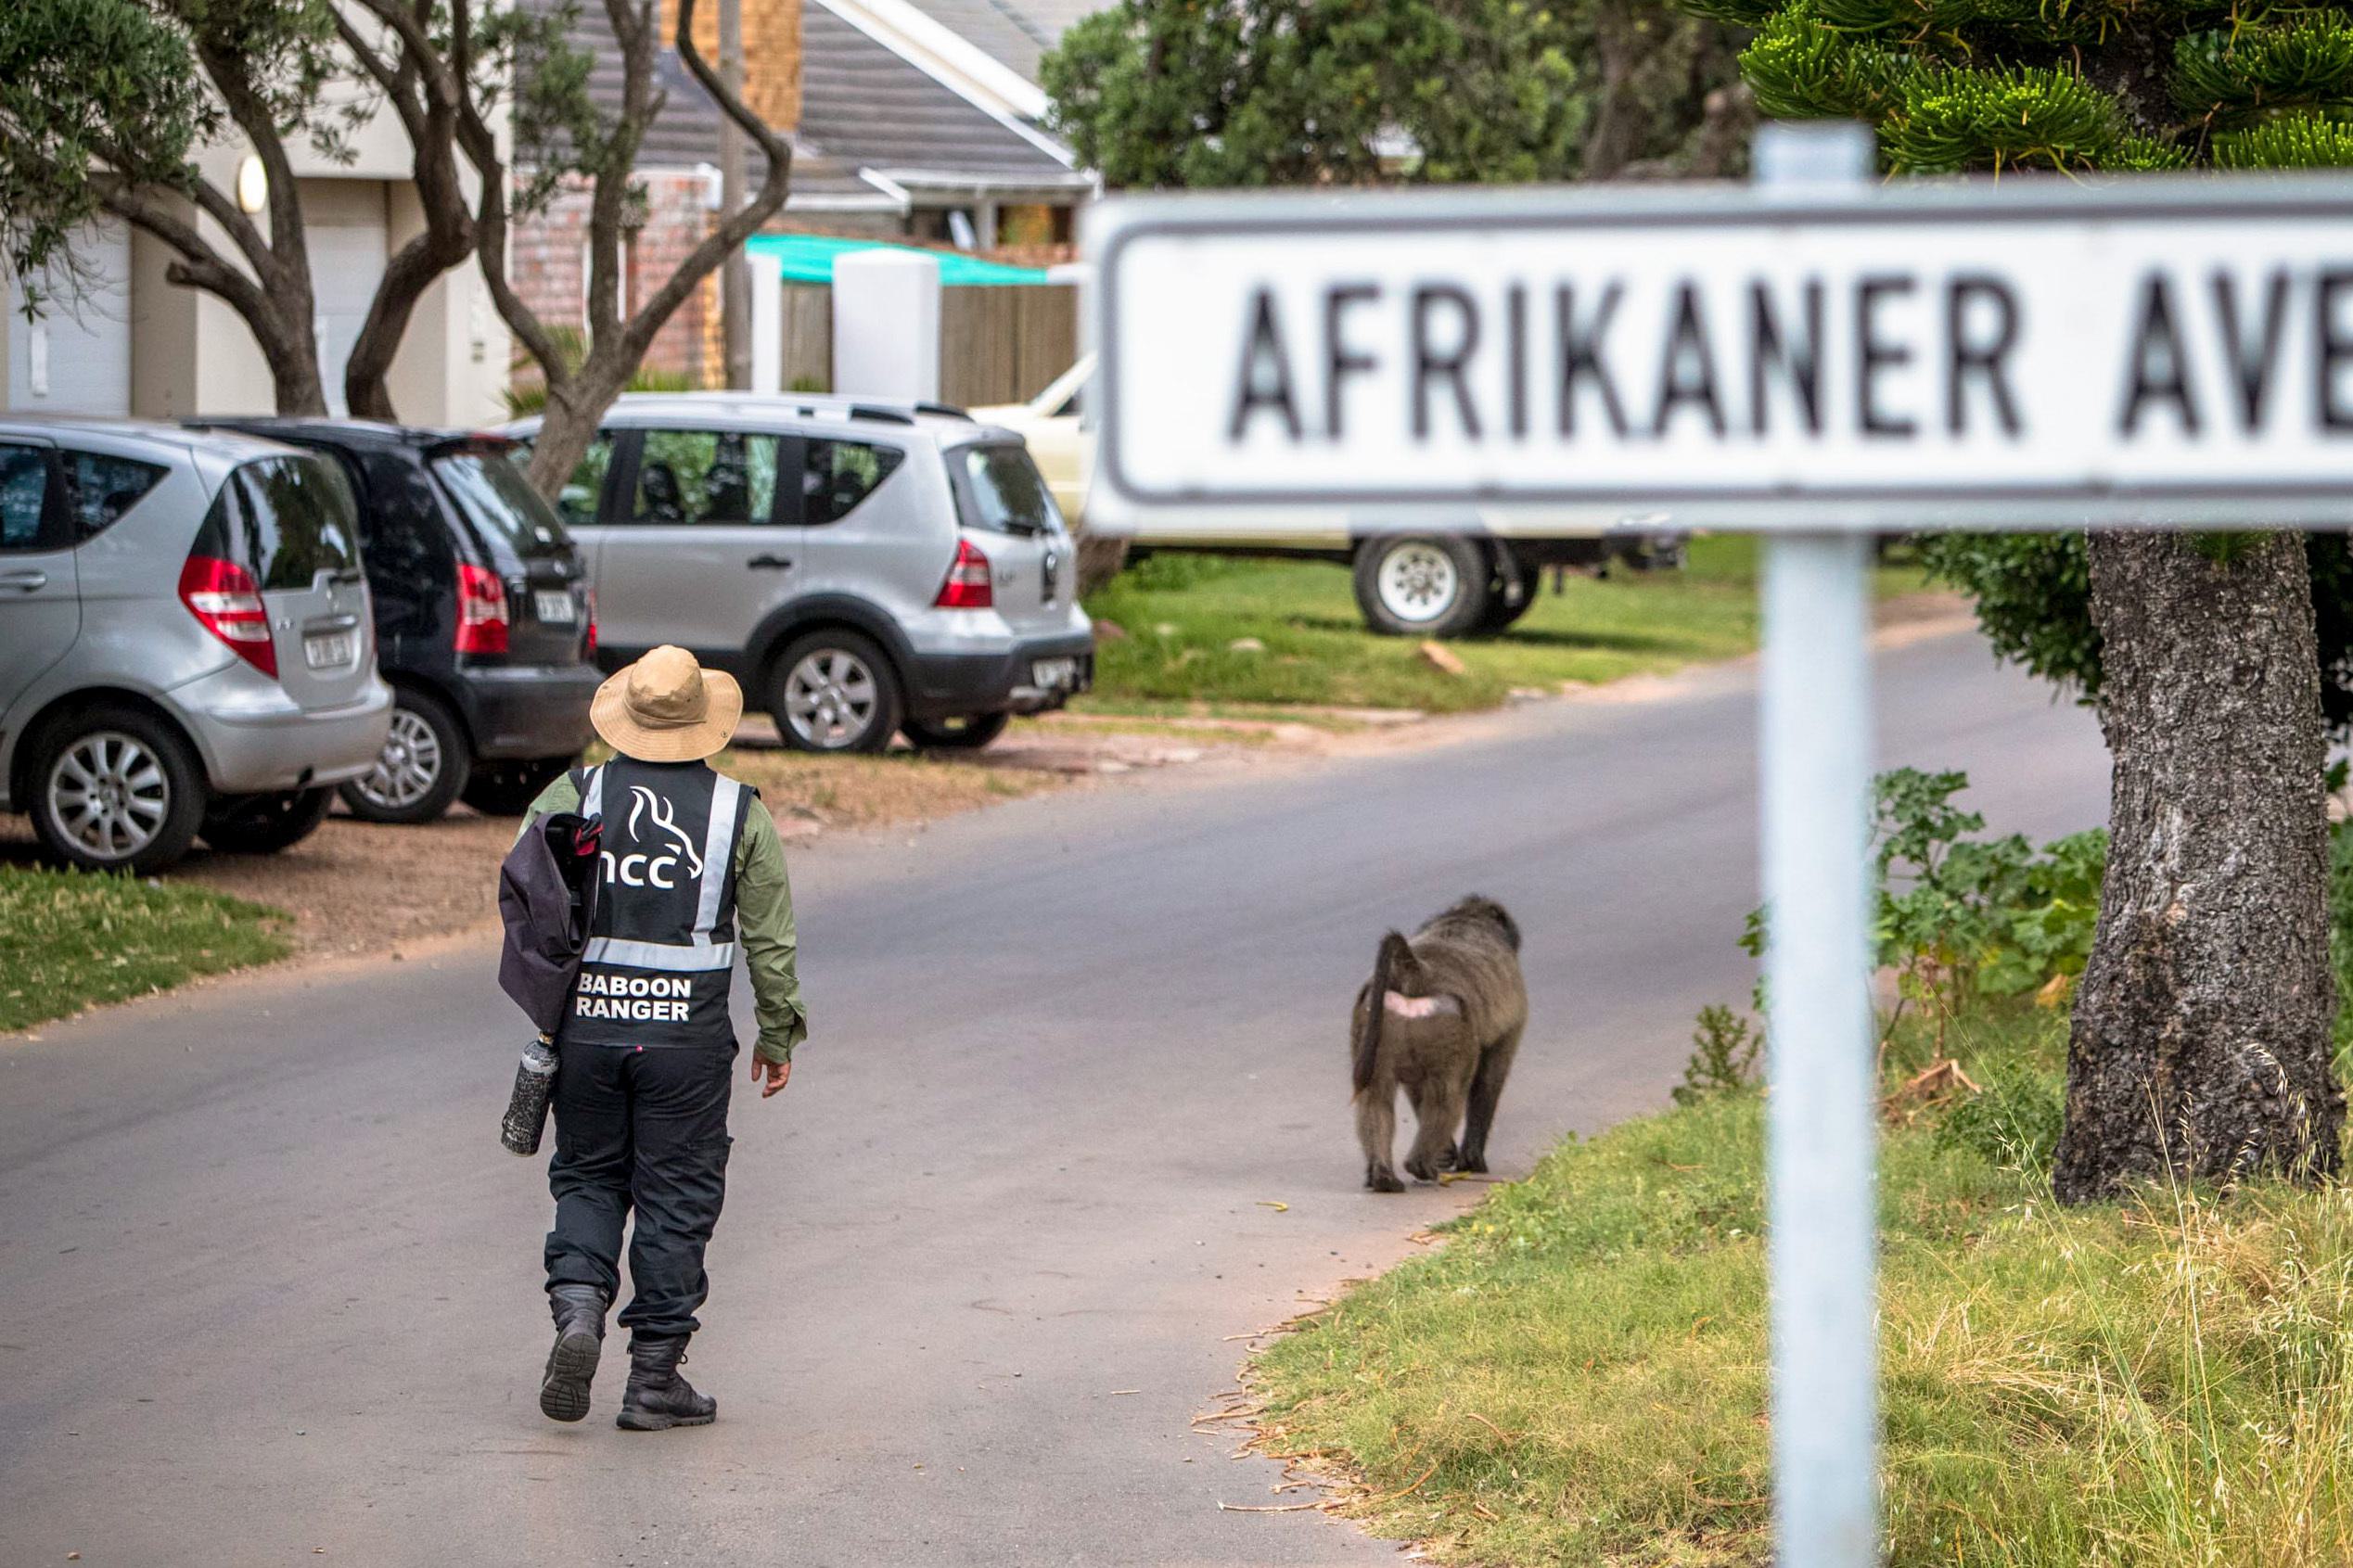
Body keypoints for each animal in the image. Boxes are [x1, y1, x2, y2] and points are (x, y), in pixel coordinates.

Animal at [1349, 895, 1528, 1193]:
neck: (1465, 919)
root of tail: (1417, 970)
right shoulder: (1511, 1026)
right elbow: (1488, 1083)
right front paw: (1471, 1160)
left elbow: (1413, 1090)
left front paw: (1446, 1154)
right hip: (1448, 1022)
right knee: (1449, 1094)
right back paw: (1420, 1165)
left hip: (1374, 1019)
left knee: (1376, 1095)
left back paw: (1383, 1176)